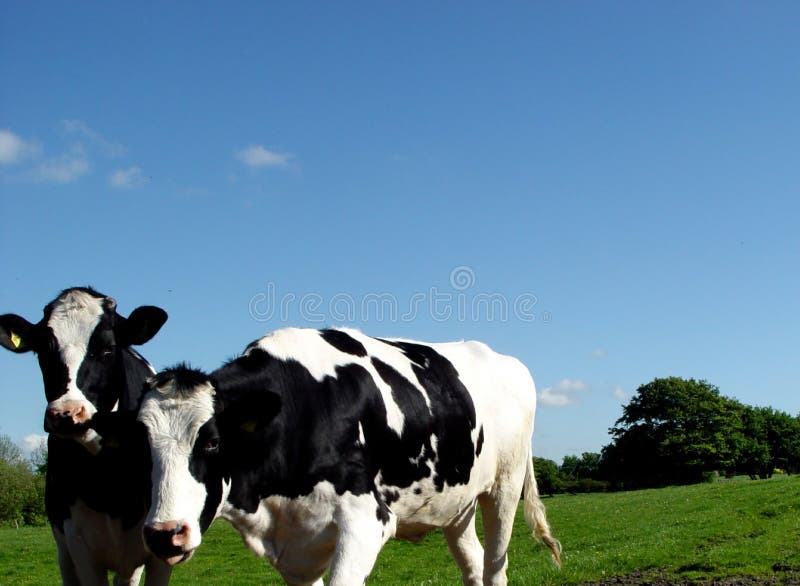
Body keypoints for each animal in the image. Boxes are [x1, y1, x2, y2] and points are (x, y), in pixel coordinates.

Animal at [136, 326, 564, 580]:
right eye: (139, 444)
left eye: (212, 441)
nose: (165, 535)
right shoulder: (297, 545)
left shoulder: (365, 521)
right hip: (455, 502)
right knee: (474, 566)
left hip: (504, 487)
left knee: (495, 566)